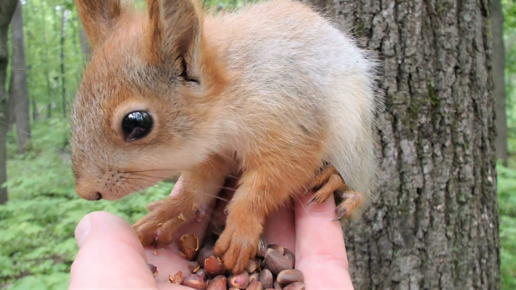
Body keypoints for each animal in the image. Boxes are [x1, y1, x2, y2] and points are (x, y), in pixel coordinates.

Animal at [70, 0, 380, 274]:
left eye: (136, 123)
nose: (86, 192)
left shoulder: (292, 126)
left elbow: (268, 184)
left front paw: (241, 228)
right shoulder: (212, 154)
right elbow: (199, 188)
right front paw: (172, 211)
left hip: (355, 139)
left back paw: (337, 182)